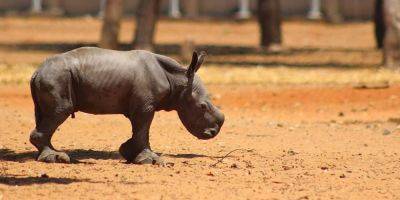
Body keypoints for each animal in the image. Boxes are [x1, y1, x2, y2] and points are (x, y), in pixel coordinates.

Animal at [29, 47, 225, 165]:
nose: (213, 132)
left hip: (54, 76)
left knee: (47, 114)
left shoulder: (138, 105)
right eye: (202, 107)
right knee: (61, 110)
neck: (177, 78)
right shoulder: (145, 105)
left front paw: (128, 152)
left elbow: (139, 130)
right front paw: (151, 160)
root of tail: (36, 71)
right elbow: (143, 130)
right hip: (56, 77)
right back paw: (56, 158)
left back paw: (49, 156)